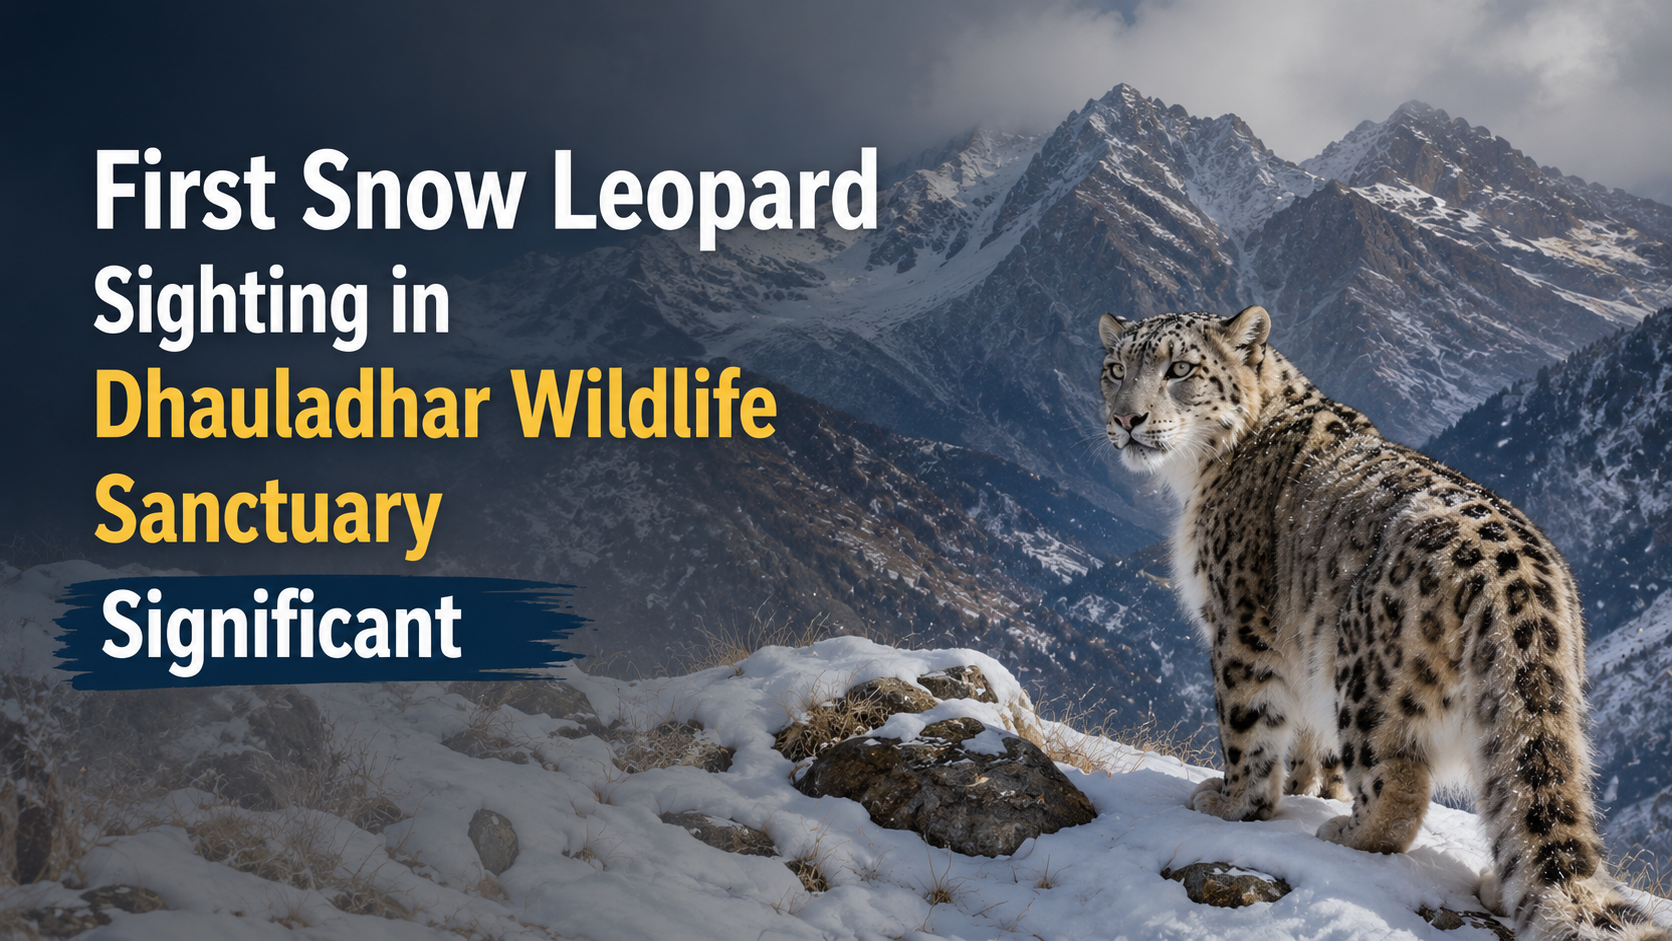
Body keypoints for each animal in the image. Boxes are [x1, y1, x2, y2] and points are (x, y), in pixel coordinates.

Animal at [1099, 305, 1667, 941]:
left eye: (1180, 368)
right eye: (1116, 369)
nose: (1125, 418)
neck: (1199, 475)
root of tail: (1522, 585)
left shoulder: (1240, 623)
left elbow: (1247, 725)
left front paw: (1234, 803)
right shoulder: (1302, 649)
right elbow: (1309, 739)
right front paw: (1307, 789)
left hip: (1365, 674)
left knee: (1398, 789)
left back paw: (1347, 834)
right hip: (1507, 718)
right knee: (1511, 794)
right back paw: (1495, 883)